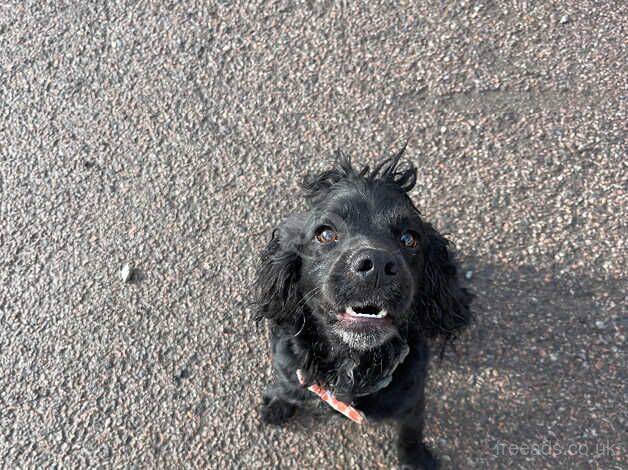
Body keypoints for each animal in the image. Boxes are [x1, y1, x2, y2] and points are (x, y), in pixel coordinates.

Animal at [251, 150, 472, 466]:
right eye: (325, 234)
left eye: (410, 238)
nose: (377, 264)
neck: (351, 365)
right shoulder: (288, 363)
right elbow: (287, 384)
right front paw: (278, 403)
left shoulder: (413, 399)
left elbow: (410, 432)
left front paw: (416, 460)